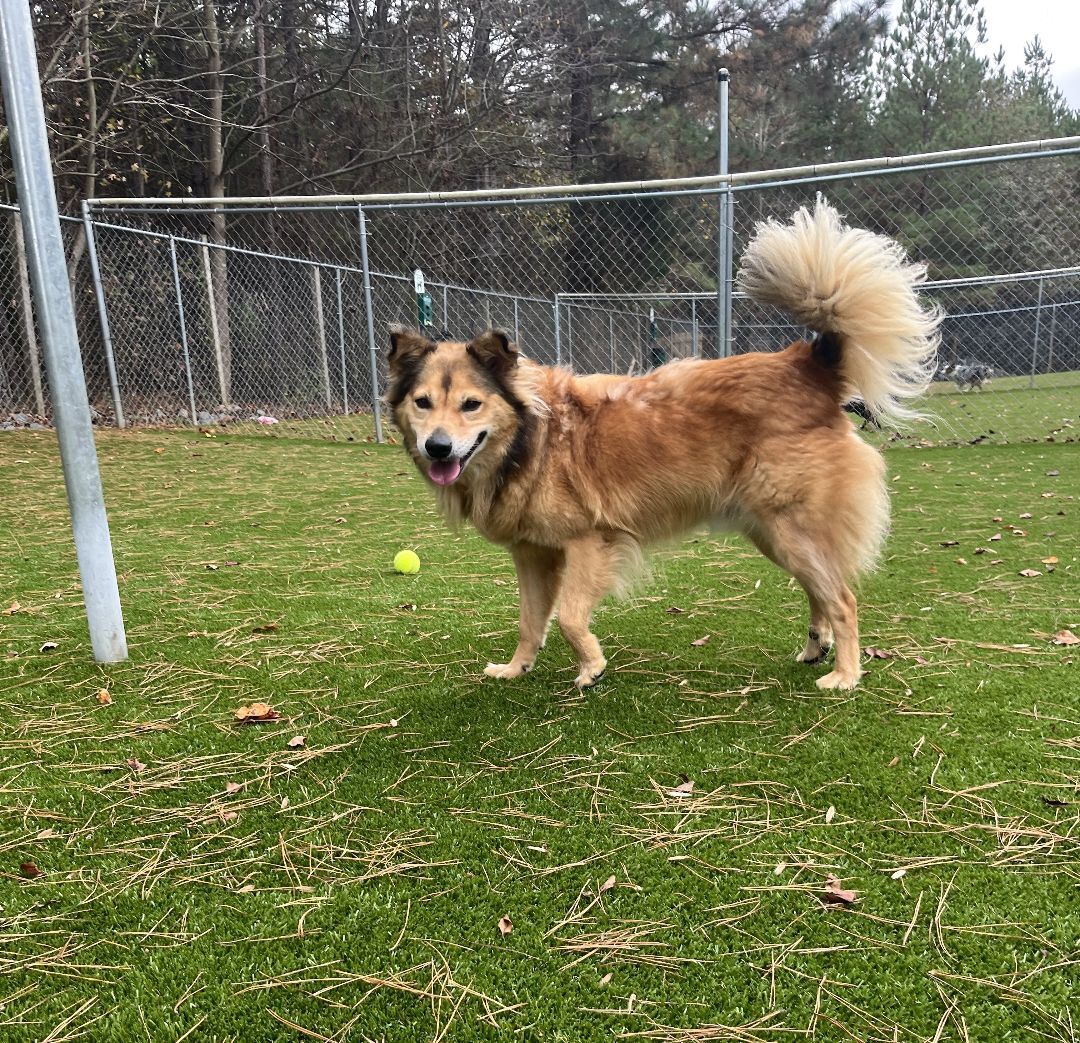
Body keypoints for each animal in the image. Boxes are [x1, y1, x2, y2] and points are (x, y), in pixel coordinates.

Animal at [386, 204, 937, 695]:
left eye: (471, 405)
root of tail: (809, 365)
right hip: (774, 532)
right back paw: (814, 647)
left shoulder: (590, 542)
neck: (531, 437)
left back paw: (845, 674)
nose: (437, 448)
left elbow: (568, 617)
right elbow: (530, 620)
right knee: (820, 592)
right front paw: (516, 668)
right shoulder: (533, 554)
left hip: (791, 527)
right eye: (423, 402)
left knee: (842, 598)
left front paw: (591, 668)